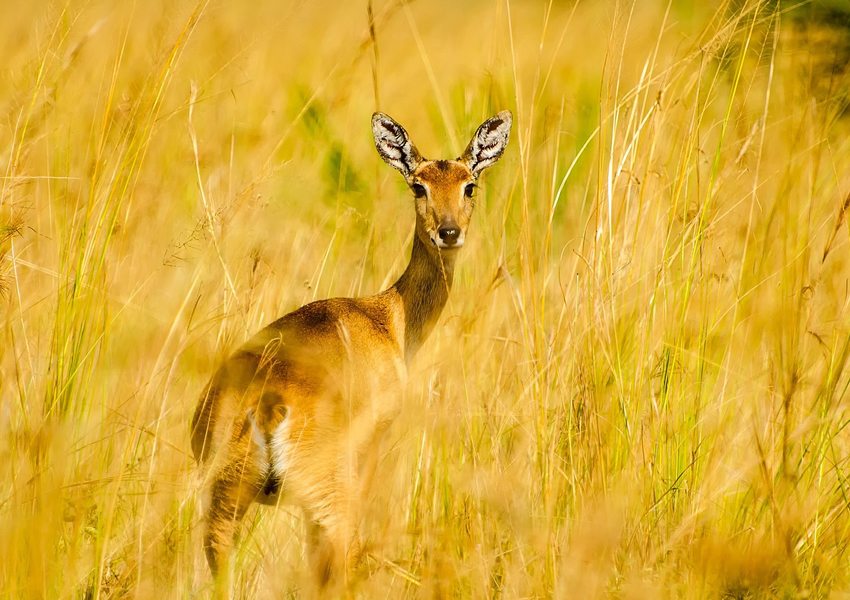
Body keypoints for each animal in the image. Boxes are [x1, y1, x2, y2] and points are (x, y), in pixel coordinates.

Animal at [190, 109, 510, 592]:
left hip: (225, 503)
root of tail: (266, 404)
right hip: (324, 494)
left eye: (469, 184)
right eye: (418, 185)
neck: (389, 318)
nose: (448, 232)